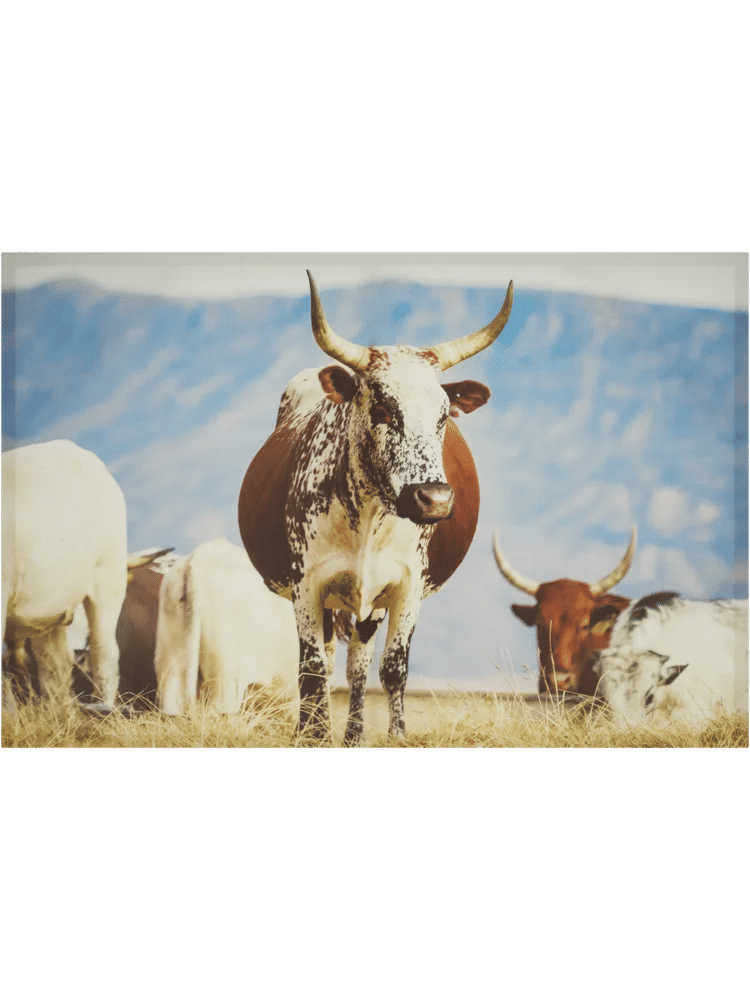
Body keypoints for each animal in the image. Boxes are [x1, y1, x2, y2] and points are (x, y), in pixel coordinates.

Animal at [1, 440, 163, 714]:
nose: (79, 653)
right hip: (49, 605)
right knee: (55, 671)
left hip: (106, 581)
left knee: (103, 654)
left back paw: (104, 708)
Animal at [239, 270, 514, 745]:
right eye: (384, 408)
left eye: (444, 415)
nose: (434, 499)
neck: (368, 517)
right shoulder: (307, 585)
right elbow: (311, 669)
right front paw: (312, 737)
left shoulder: (408, 586)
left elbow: (393, 668)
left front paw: (396, 736)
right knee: (326, 662)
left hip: (370, 604)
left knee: (358, 665)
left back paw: (352, 735)